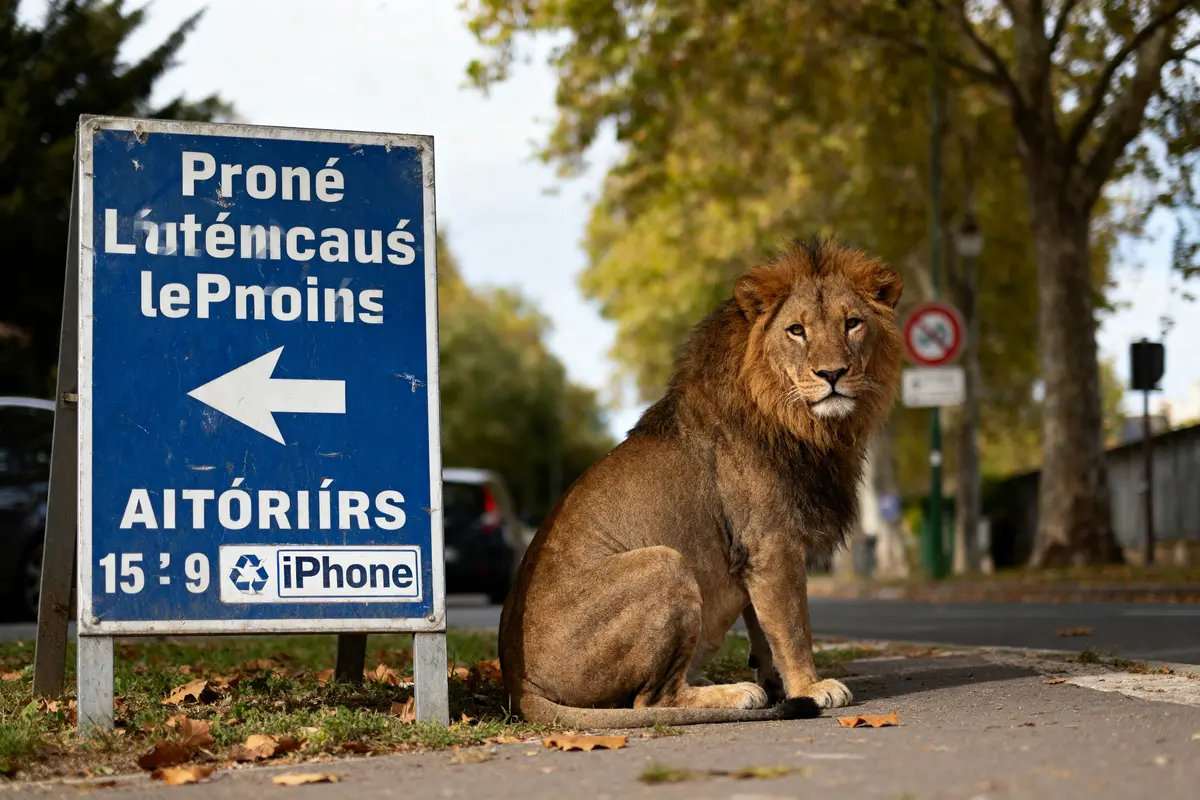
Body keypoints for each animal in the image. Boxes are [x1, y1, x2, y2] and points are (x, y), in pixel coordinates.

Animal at [498, 237, 904, 726]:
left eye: (852, 323)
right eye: (796, 331)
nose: (832, 374)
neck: (806, 426)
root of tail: (518, 684)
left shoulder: (754, 556)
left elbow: (763, 629)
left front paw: (780, 683)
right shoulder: (772, 542)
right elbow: (792, 626)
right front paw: (810, 687)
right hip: (665, 562)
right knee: (653, 700)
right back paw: (736, 693)